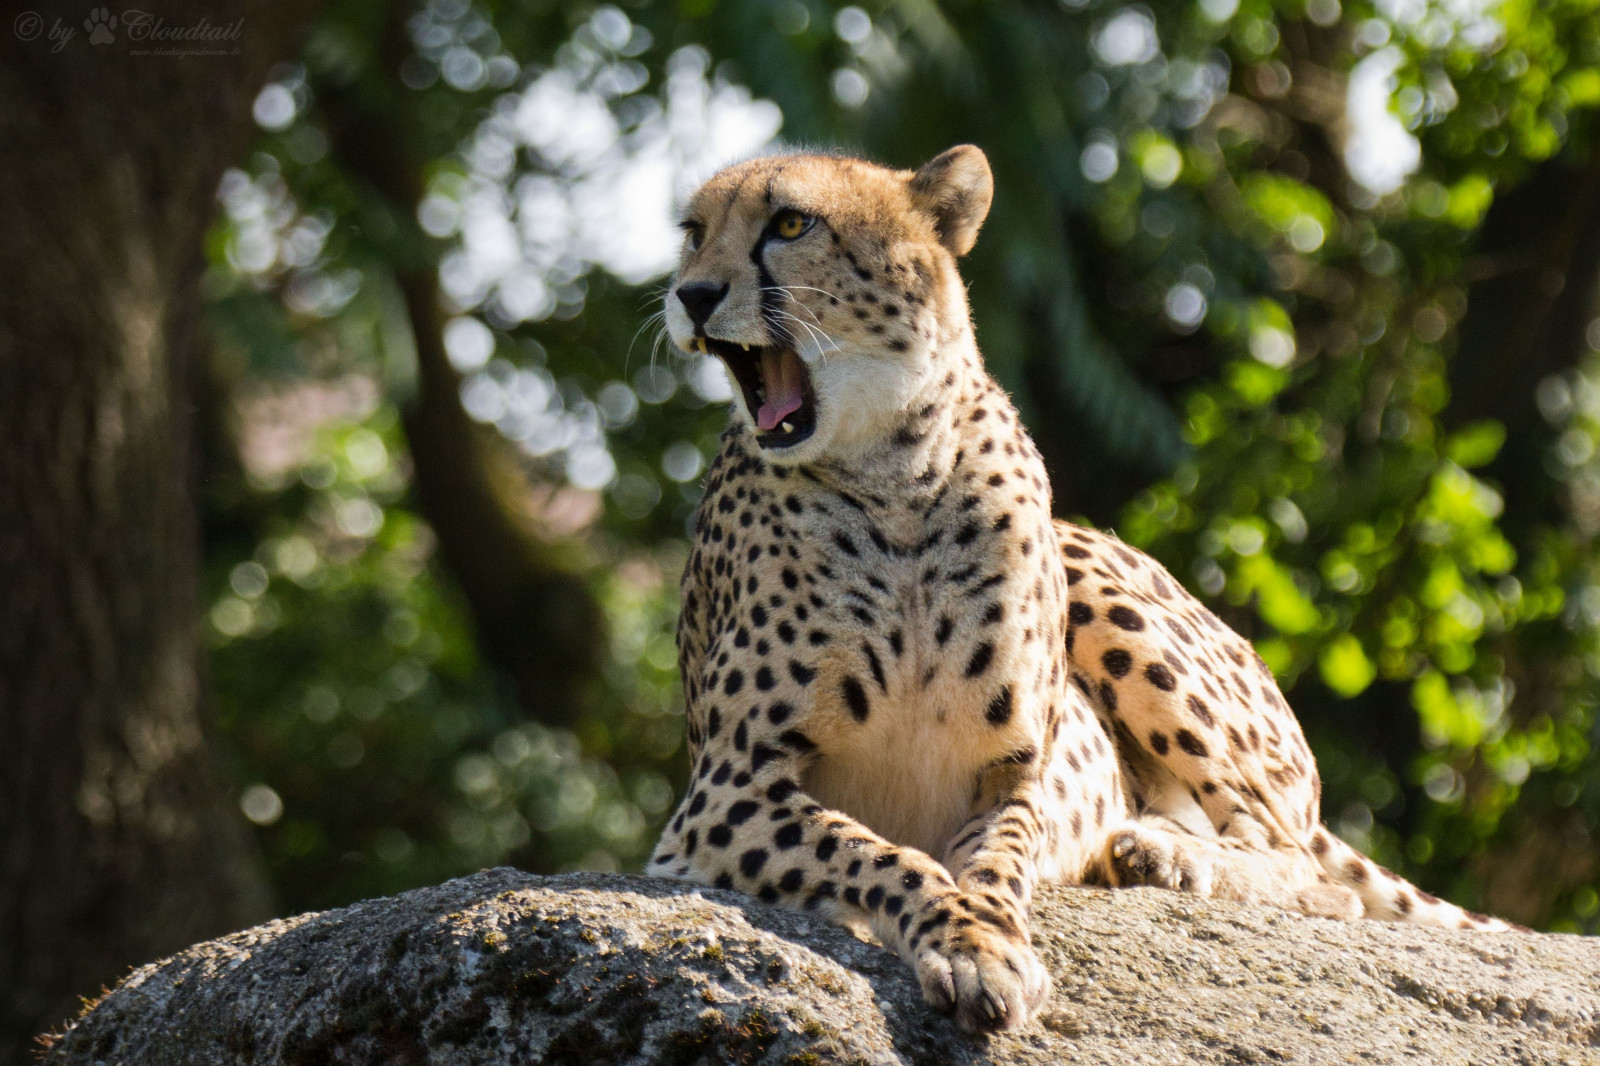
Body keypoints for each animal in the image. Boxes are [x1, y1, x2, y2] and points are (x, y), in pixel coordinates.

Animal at [646, 144, 1513, 1033]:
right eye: (693, 233)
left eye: (791, 224)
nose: (692, 295)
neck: (895, 474)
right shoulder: (722, 796)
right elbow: (882, 856)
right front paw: (971, 946)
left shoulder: (1013, 772)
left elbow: (992, 862)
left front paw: (985, 937)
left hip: (1097, 584)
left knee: (1304, 865)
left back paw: (1161, 851)